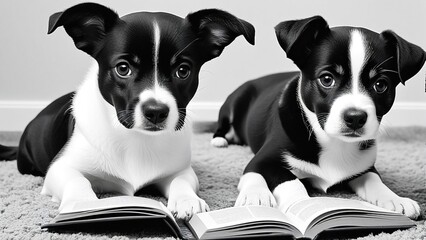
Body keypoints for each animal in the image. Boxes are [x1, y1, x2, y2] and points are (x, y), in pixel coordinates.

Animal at [0, 2, 253, 219]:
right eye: (123, 68)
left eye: (183, 70)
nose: (156, 112)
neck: (135, 138)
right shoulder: (60, 168)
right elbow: (77, 181)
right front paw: (84, 204)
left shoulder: (179, 170)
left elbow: (181, 181)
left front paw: (186, 200)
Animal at [211, 15, 424, 219]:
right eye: (327, 79)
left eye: (380, 85)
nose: (355, 118)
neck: (332, 141)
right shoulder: (262, 160)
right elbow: (288, 180)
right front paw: (295, 204)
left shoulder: (365, 167)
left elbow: (375, 180)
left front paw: (395, 199)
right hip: (235, 100)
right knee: (222, 125)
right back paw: (220, 140)